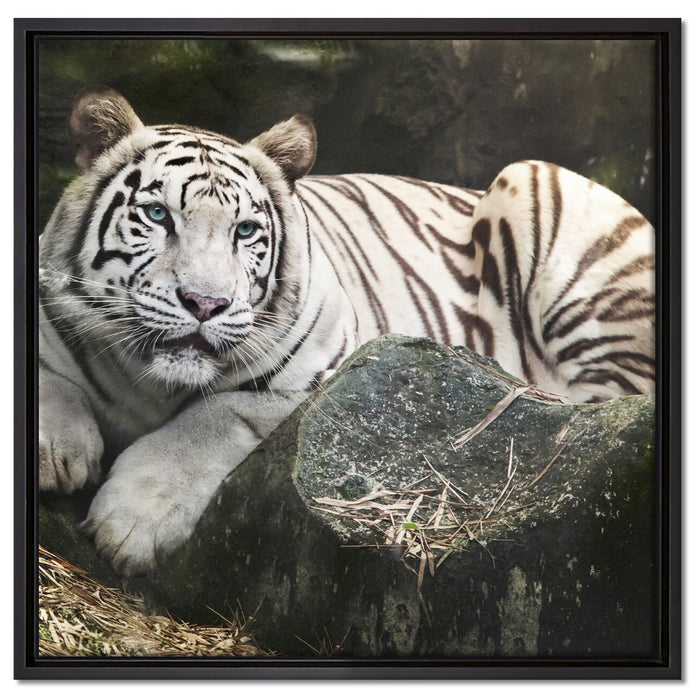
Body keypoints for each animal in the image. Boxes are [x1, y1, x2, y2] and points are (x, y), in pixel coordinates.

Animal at [38, 87, 655, 576]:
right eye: (158, 216)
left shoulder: (316, 373)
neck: (151, 382)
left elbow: (213, 418)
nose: (206, 303)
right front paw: (54, 452)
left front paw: (131, 523)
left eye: (245, 231)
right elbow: (50, 380)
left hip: (539, 188)